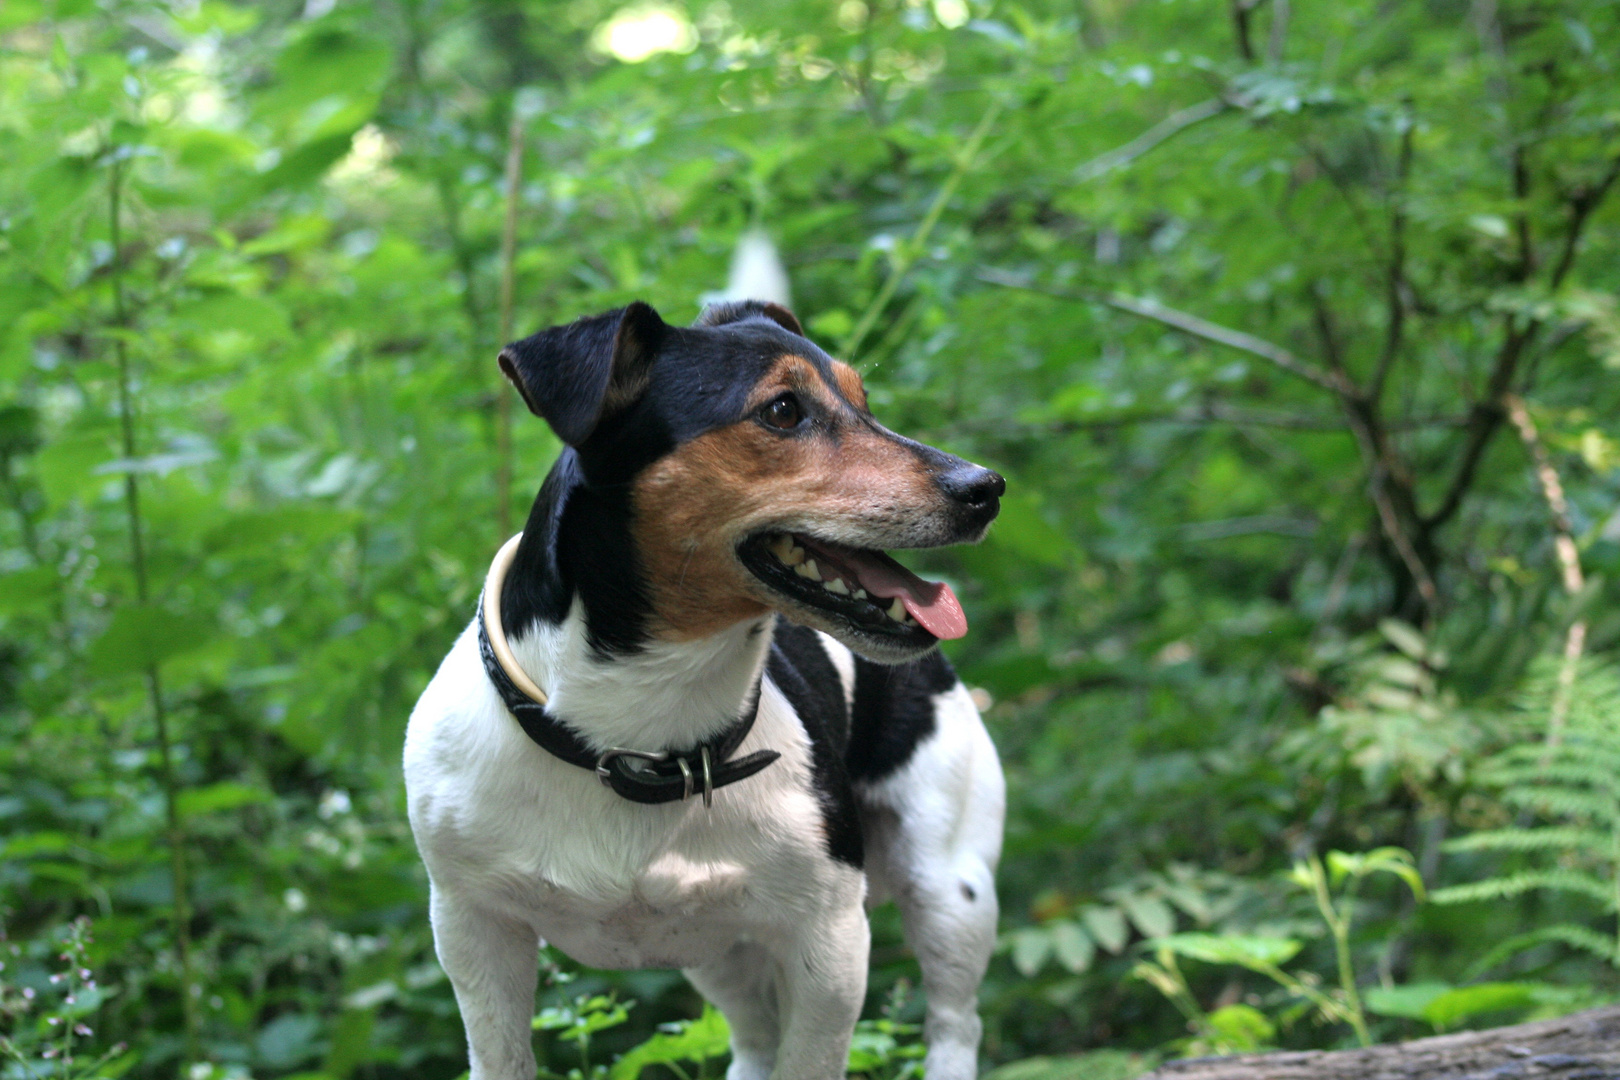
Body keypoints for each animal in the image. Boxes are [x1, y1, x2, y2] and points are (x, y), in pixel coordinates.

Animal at [403, 297, 1004, 1080]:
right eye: (783, 410)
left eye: (863, 402)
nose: (986, 487)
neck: (643, 732)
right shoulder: (474, 930)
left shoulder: (830, 944)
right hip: (716, 947)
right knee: (753, 1036)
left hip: (951, 888)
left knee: (955, 1022)